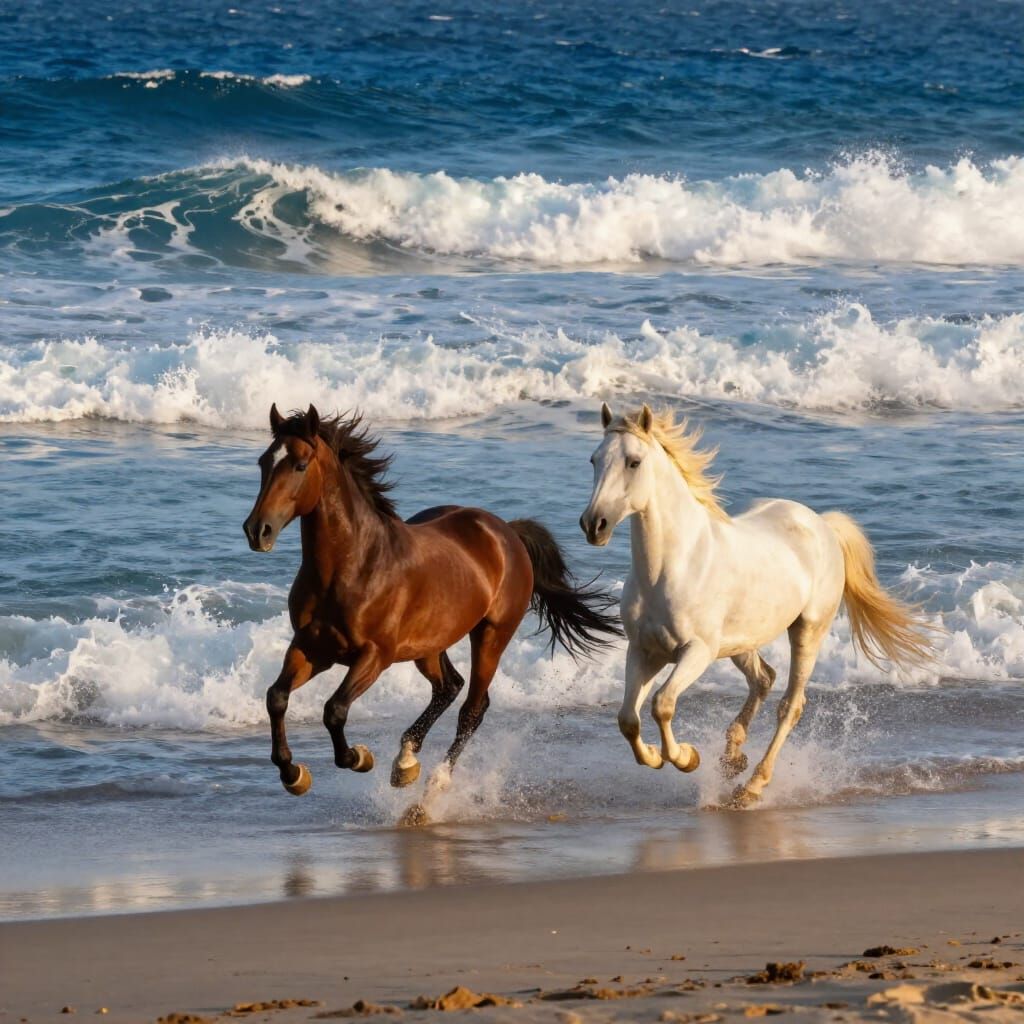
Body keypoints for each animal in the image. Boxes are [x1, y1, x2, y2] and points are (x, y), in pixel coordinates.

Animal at [243, 403, 620, 805]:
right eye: (263, 462)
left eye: (300, 465)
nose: (257, 530)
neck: (353, 565)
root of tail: (506, 531)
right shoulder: (312, 648)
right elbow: (276, 697)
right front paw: (292, 773)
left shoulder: (374, 655)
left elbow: (335, 710)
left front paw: (358, 757)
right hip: (428, 645)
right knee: (448, 687)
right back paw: (406, 761)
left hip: (490, 636)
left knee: (472, 708)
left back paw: (434, 784)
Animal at [579, 403, 936, 806]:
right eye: (594, 459)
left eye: (634, 462)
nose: (594, 525)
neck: (671, 567)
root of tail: (822, 524)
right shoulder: (644, 651)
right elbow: (628, 718)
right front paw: (658, 757)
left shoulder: (697, 651)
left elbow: (662, 704)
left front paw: (687, 757)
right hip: (742, 641)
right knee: (764, 678)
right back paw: (732, 758)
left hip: (807, 631)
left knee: (790, 706)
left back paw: (751, 786)